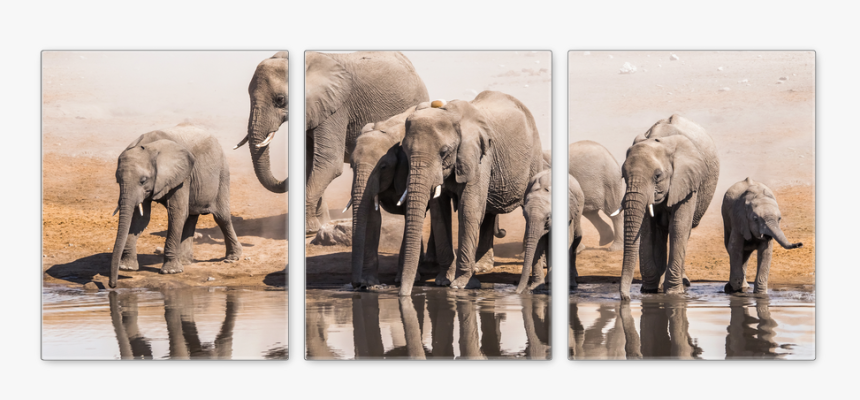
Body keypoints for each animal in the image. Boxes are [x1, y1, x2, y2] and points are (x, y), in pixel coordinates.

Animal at [110, 125, 241, 288]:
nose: (113, 285)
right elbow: (142, 218)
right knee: (191, 216)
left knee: (221, 217)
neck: (150, 147)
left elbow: (176, 212)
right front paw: (127, 267)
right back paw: (185, 261)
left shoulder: (182, 176)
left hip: (222, 172)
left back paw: (232, 258)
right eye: (117, 180)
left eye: (143, 180)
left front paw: (170, 271)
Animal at [398, 91, 545, 295]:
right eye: (404, 150)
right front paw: (443, 281)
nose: (403, 295)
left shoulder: (481, 156)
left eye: (444, 151)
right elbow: (439, 213)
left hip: (534, 156)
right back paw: (482, 267)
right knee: (489, 211)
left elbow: (469, 209)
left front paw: (461, 285)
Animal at [618, 115, 720, 300]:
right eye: (623, 175)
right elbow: (647, 229)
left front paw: (674, 293)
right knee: (660, 232)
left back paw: (683, 282)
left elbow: (678, 227)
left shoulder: (687, 180)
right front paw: (649, 290)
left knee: (683, 231)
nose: (625, 298)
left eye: (657, 176)